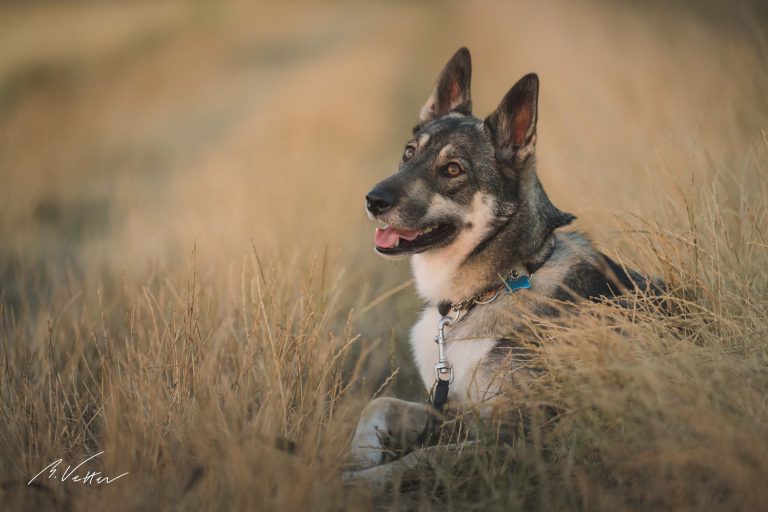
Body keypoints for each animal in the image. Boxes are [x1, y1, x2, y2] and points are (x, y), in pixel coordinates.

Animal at [346, 48, 660, 480]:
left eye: (453, 170)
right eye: (409, 153)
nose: (373, 200)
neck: (486, 292)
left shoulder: (522, 437)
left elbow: (420, 459)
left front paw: (358, 480)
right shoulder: (448, 410)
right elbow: (379, 404)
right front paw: (357, 456)